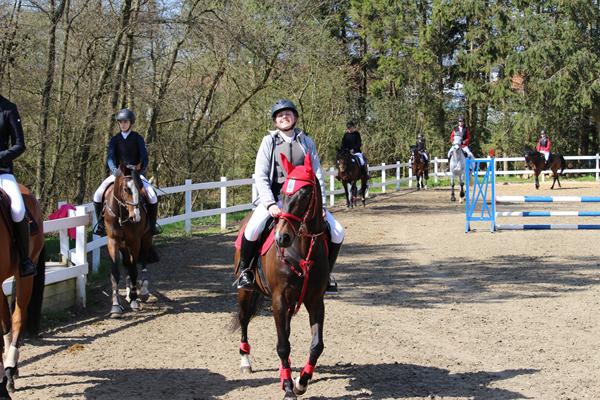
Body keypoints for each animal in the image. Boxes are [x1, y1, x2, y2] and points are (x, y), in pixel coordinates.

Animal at [103, 164, 155, 318]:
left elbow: (133, 270)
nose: (136, 217)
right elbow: (115, 272)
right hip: (123, 245)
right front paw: (115, 306)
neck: (122, 213)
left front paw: (134, 299)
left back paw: (143, 291)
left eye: (140, 187)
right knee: (127, 262)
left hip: (146, 238)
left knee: (143, 261)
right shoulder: (113, 241)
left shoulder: (134, 241)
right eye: (126, 189)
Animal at [233, 154, 328, 400]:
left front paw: (301, 381)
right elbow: (282, 345)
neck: (302, 249)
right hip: (246, 293)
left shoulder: (315, 300)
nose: (281, 238)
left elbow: (316, 345)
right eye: (284, 192)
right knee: (244, 320)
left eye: (304, 194)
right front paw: (287, 387)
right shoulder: (279, 299)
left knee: (285, 329)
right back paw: (245, 361)